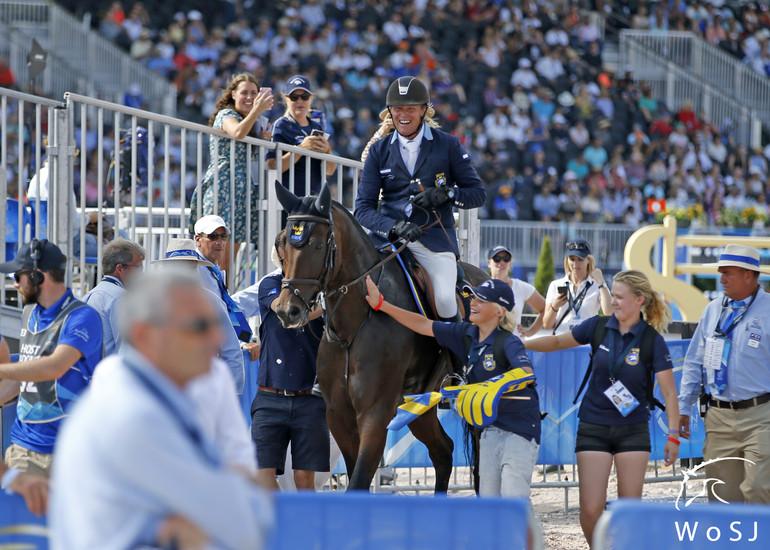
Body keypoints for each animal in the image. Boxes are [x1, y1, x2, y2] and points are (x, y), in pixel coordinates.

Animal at [272, 183, 486, 494]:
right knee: (444, 452)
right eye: (284, 246)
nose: (287, 310)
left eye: (318, 245)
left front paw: (435, 195)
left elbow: (359, 480)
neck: (353, 326)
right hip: (419, 405)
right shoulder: (338, 416)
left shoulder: (376, 414)